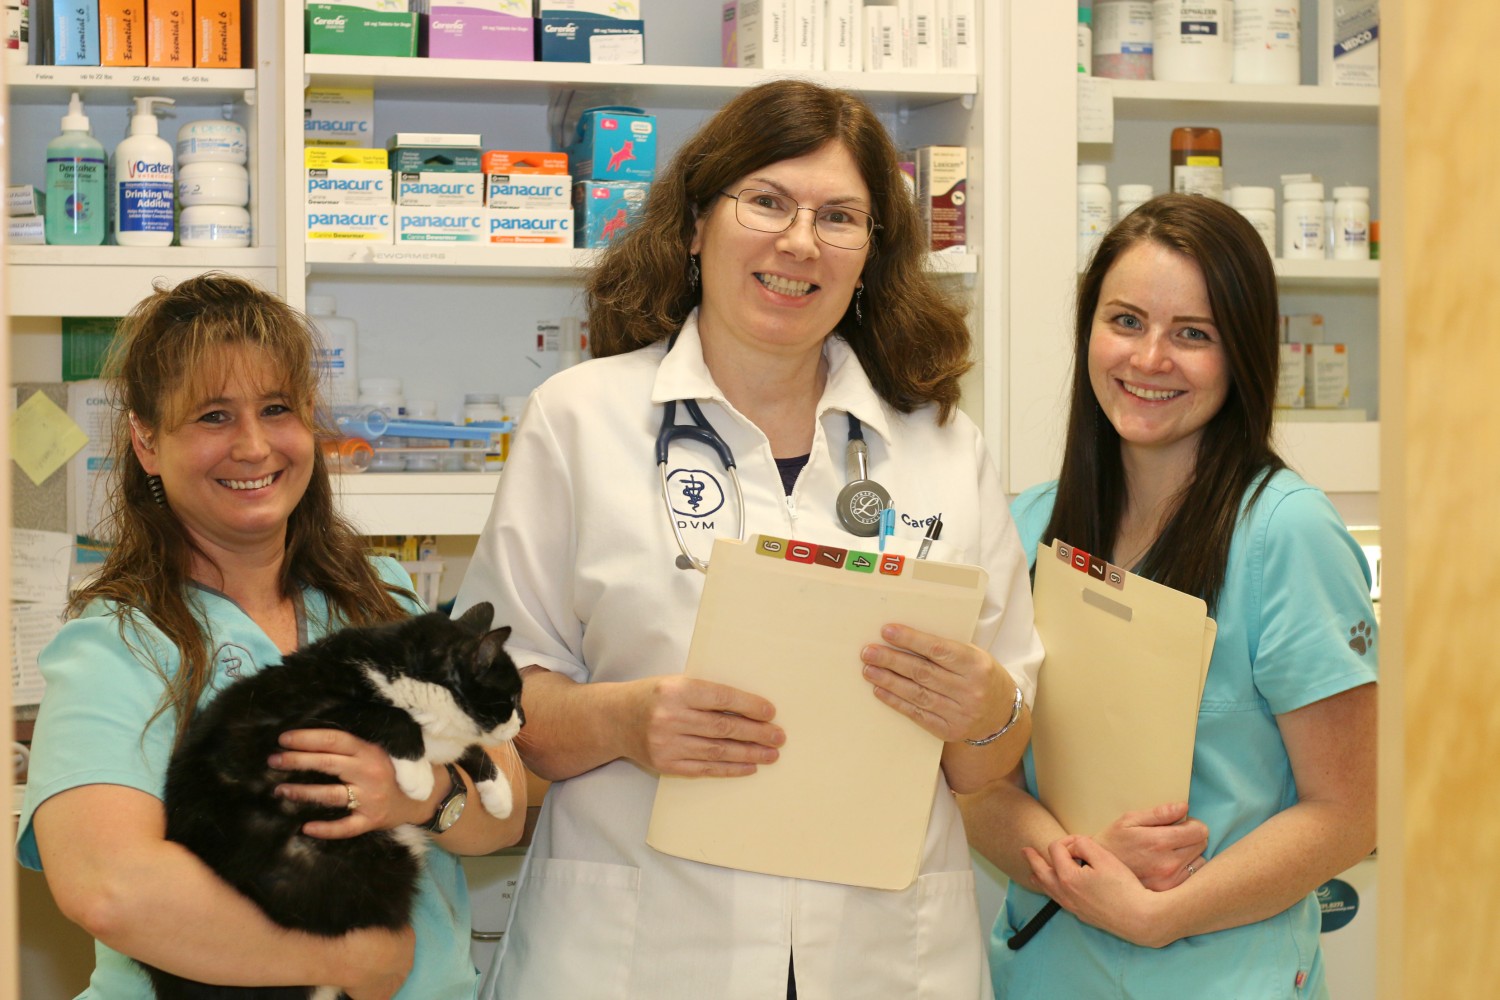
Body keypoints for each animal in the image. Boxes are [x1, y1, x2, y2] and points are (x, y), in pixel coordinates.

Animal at [141, 599, 525, 995]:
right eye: (512, 698)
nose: (522, 721)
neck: (406, 674)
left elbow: (467, 748)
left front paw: (498, 794)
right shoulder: (306, 719)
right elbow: (387, 715)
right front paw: (416, 775)